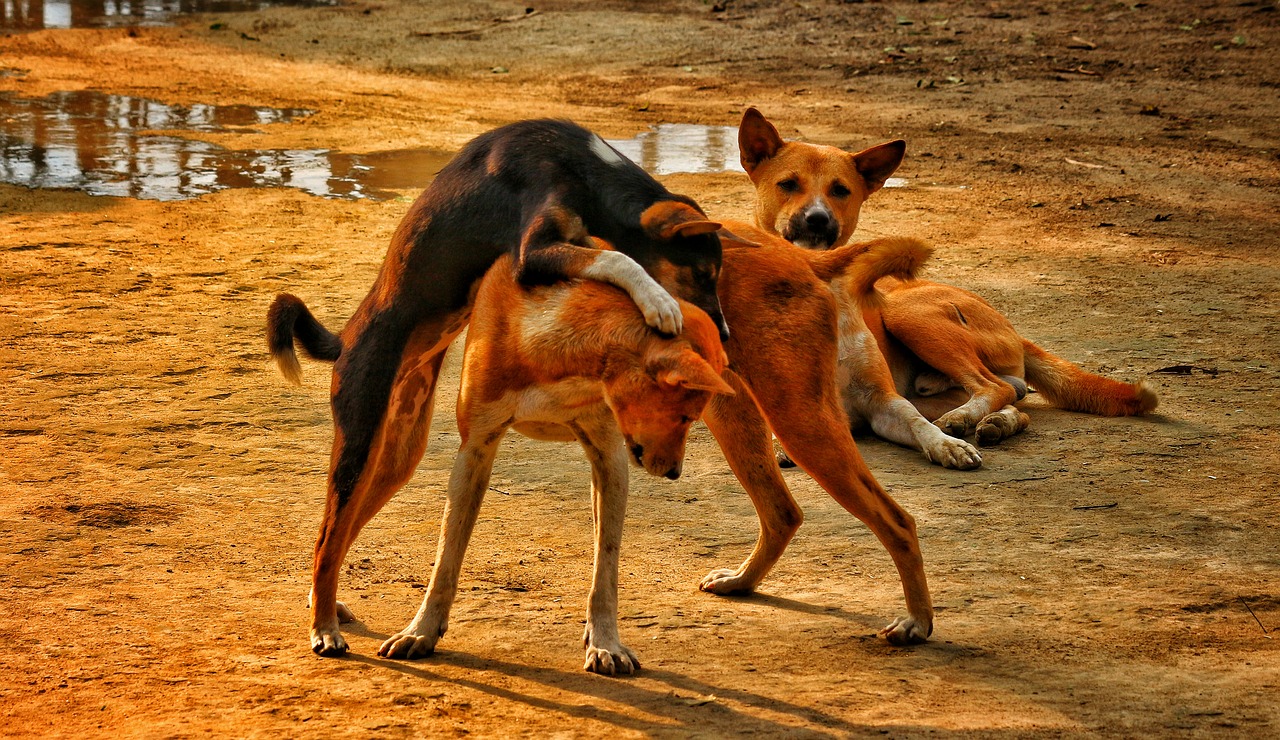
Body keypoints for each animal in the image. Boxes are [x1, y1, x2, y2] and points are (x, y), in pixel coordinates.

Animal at [267, 117, 732, 652]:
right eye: (702, 272)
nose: (725, 334)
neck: (581, 166)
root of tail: (344, 341)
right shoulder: (533, 251)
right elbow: (620, 260)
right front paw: (657, 301)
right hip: (359, 444)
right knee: (328, 537)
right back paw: (324, 627)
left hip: (395, 460)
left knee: (333, 538)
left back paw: (324, 606)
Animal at [737, 106, 1157, 460]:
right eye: (788, 184)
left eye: (840, 190)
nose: (818, 219)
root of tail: (1009, 326)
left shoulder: (882, 400)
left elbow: (915, 423)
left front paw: (946, 446)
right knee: (1010, 397)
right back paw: (991, 422)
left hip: (910, 315)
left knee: (997, 387)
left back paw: (971, 421)